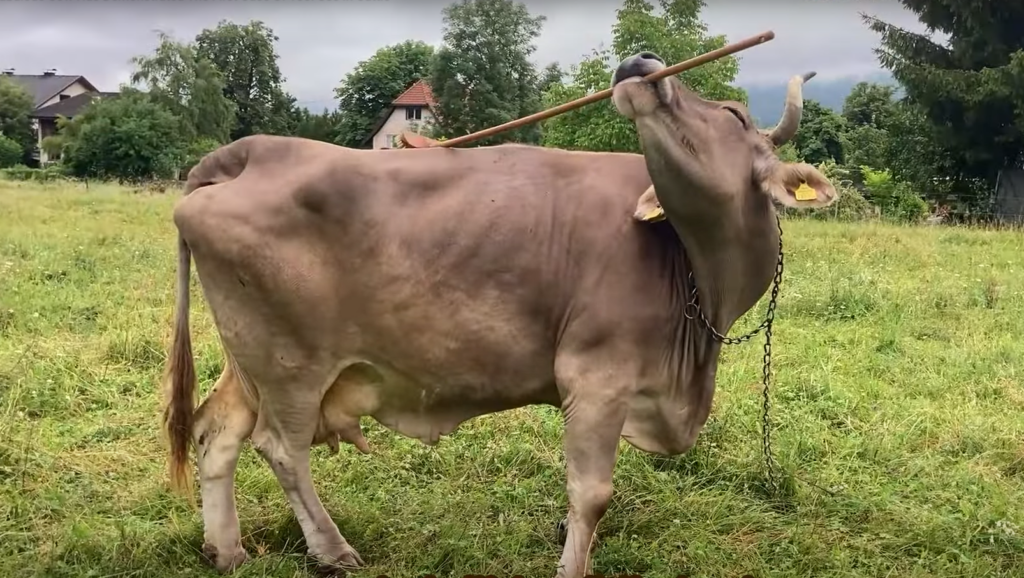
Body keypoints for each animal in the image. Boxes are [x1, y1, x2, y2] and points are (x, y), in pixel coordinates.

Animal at [161, 50, 837, 578]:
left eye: (734, 116)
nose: (640, 62)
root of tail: (252, 150)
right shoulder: (596, 376)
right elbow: (591, 493)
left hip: (247, 357)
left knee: (217, 432)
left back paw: (227, 551)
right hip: (290, 362)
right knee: (280, 447)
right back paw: (332, 550)